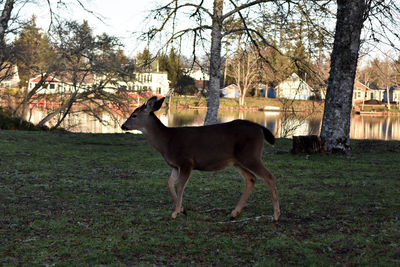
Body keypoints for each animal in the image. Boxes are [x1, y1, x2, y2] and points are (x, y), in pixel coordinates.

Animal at [122, 96, 282, 222]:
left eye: (134, 115)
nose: (123, 126)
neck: (167, 142)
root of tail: (260, 128)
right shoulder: (175, 165)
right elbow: (169, 183)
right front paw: (182, 210)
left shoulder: (186, 162)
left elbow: (180, 186)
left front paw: (175, 212)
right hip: (238, 161)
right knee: (251, 178)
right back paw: (234, 214)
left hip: (250, 155)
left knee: (269, 176)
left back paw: (275, 216)